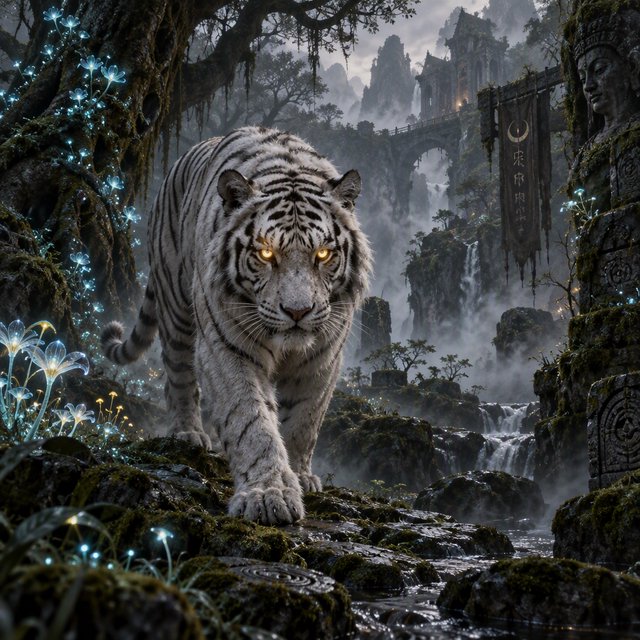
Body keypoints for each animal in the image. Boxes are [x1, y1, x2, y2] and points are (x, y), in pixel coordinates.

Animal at [101, 126, 372, 525]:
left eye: (323, 254)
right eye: (266, 253)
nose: (298, 311)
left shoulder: (322, 357)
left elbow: (304, 422)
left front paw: (301, 476)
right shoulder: (227, 347)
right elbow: (251, 422)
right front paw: (268, 494)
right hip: (176, 306)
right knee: (178, 377)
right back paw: (188, 434)